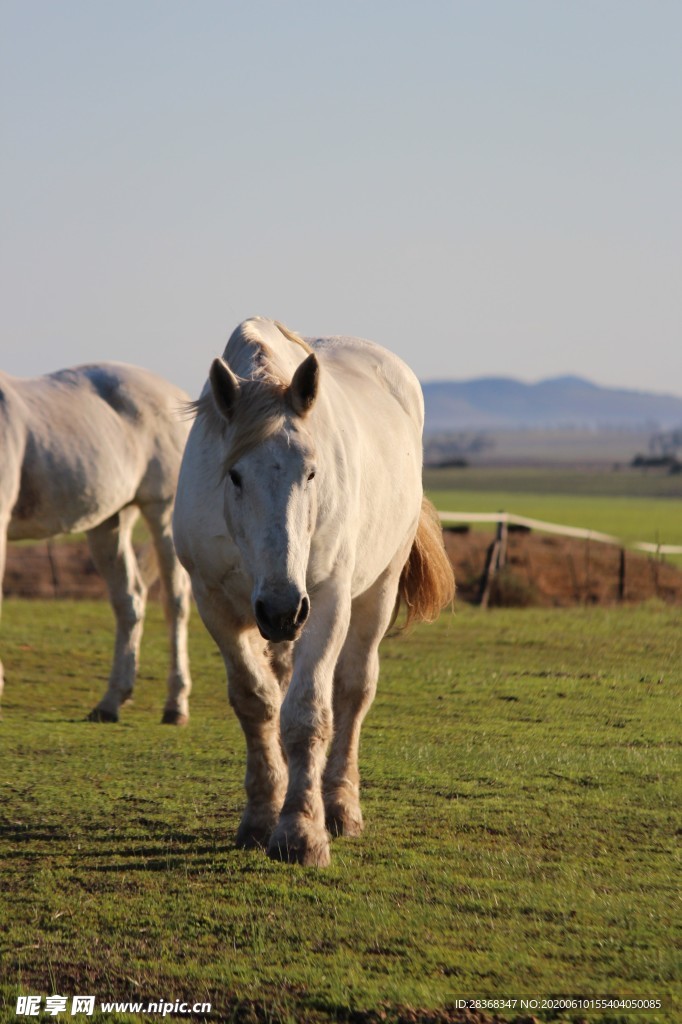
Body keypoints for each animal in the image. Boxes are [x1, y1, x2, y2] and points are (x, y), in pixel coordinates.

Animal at [0, 362, 193, 724]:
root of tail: (175, 394)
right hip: (110, 521)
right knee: (129, 601)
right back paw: (110, 702)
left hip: (162, 510)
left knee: (174, 602)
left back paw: (175, 706)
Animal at [173, 317, 454, 866]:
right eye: (234, 474)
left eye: (312, 471)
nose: (282, 609)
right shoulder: (214, 603)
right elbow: (256, 702)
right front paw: (262, 816)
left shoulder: (324, 601)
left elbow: (306, 714)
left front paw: (301, 831)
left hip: (376, 592)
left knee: (353, 690)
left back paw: (341, 807)